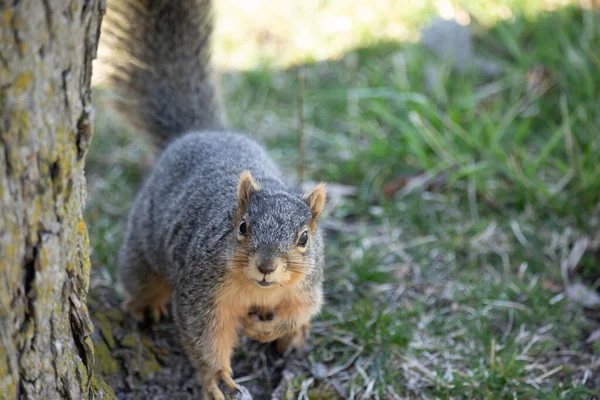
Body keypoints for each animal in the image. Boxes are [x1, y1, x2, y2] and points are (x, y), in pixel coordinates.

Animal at [105, 0, 326, 400]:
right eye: (242, 227)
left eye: (304, 238)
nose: (267, 265)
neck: (258, 290)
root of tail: (201, 133)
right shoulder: (202, 293)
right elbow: (204, 336)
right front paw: (216, 377)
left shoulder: (307, 286)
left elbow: (300, 311)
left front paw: (264, 329)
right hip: (141, 244)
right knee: (140, 277)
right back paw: (145, 305)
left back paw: (293, 338)